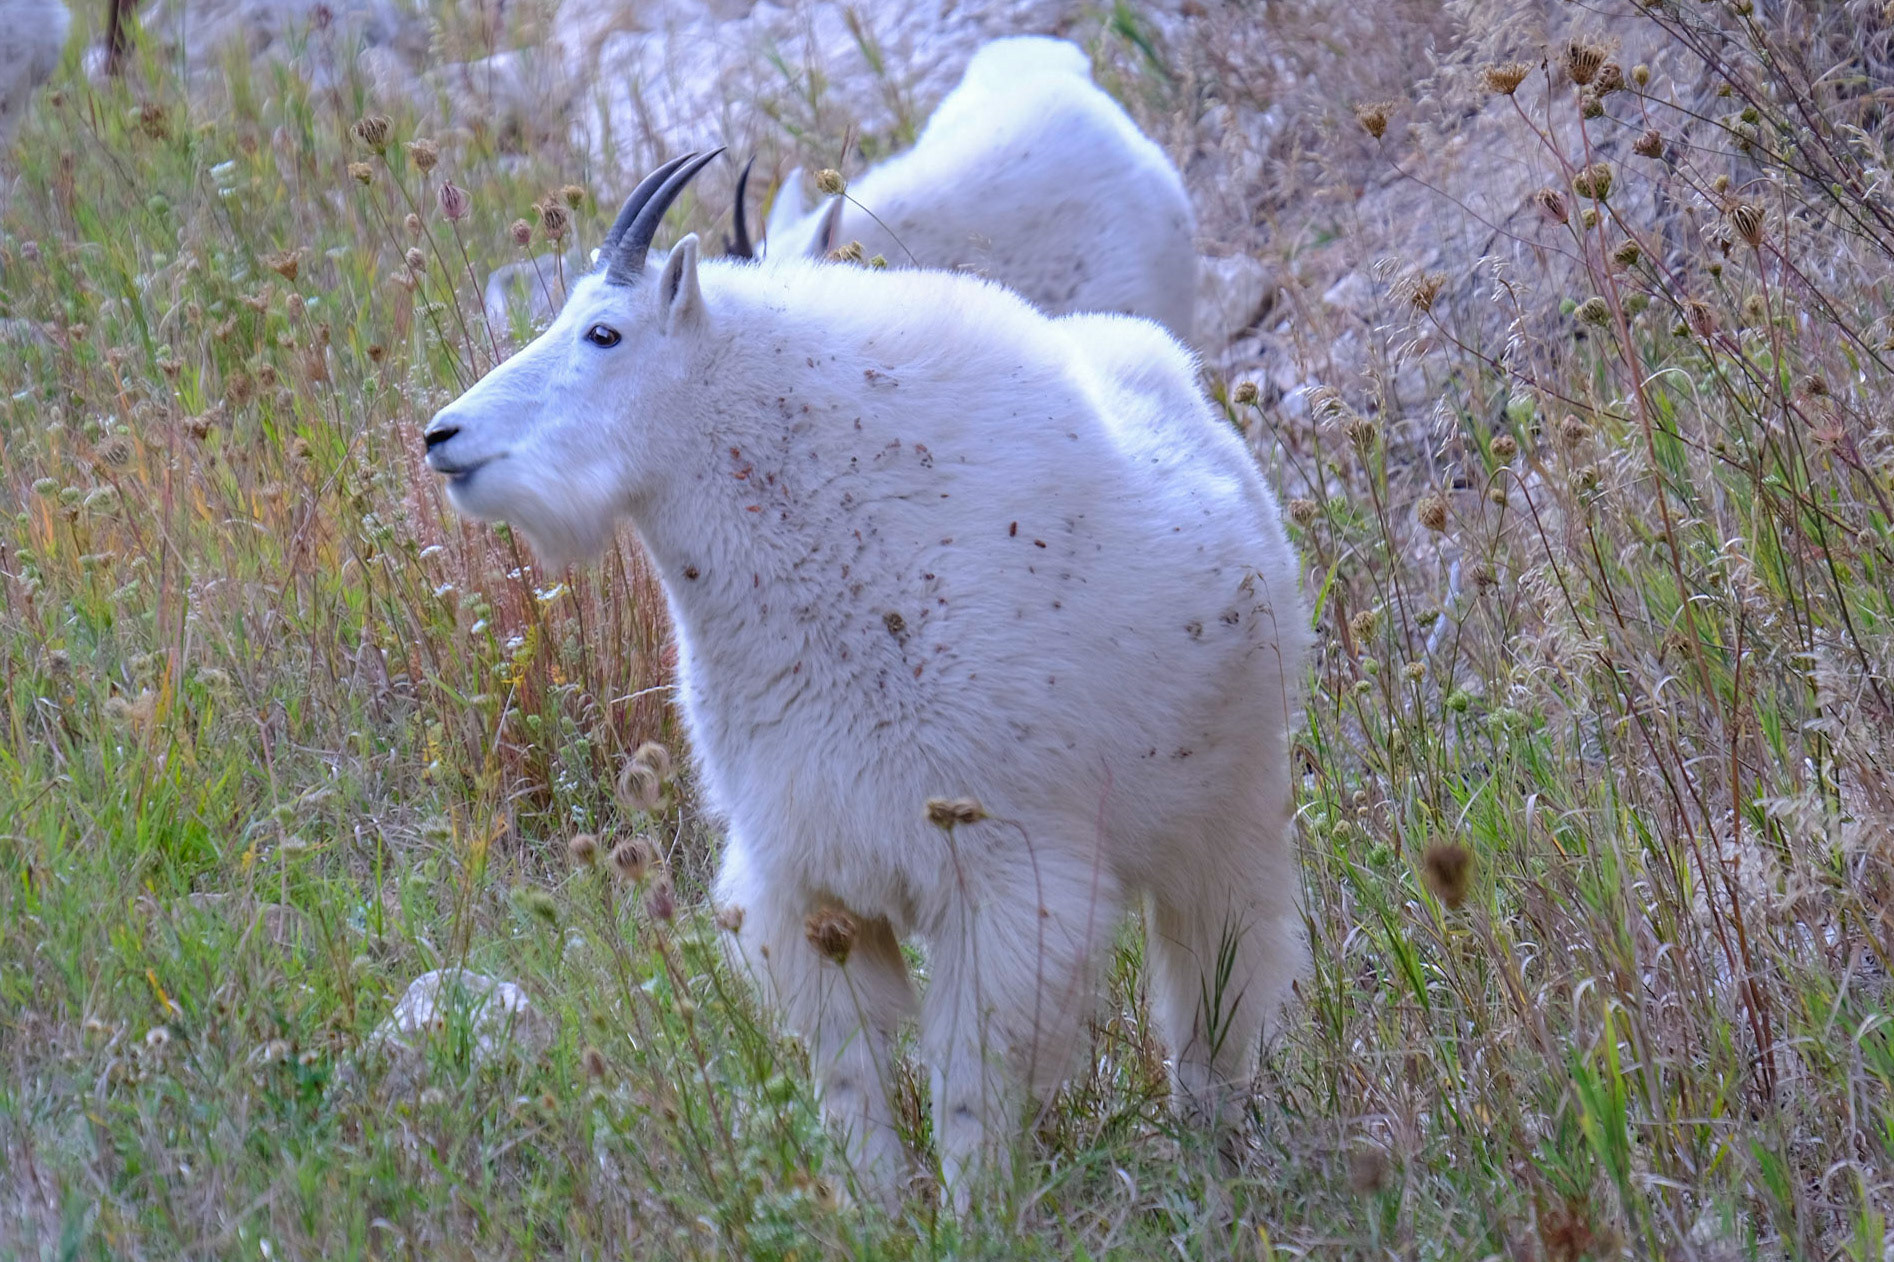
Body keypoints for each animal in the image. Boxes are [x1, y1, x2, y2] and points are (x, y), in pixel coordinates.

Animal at [424, 151, 1307, 1205]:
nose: (443, 436)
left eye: (605, 333)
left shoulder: (1001, 873)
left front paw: (973, 1212)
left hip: (1229, 802)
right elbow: (849, 1072)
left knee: (1219, 974)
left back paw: (1211, 1140)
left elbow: (971, 1073)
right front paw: (877, 1207)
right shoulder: (806, 878)